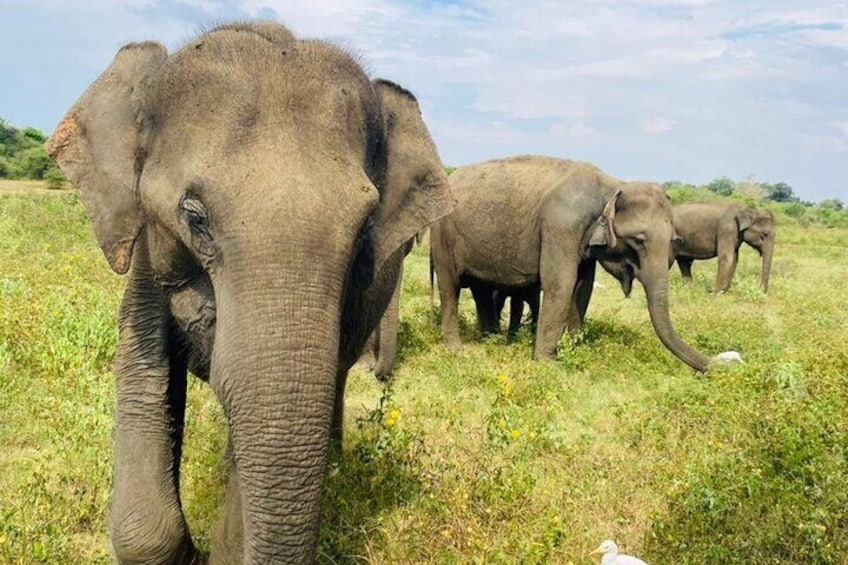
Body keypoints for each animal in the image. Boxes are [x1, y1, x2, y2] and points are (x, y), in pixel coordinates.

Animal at [430, 154, 716, 370]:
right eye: (639, 240)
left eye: (674, 240)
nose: (715, 366)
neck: (612, 185)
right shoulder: (560, 225)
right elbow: (561, 283)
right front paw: (548, 364)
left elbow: (583, 287)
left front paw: (575, 348)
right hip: (443, 235)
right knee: (449, 287)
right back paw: (456, 349)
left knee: (481, 289)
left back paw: (492, 339)